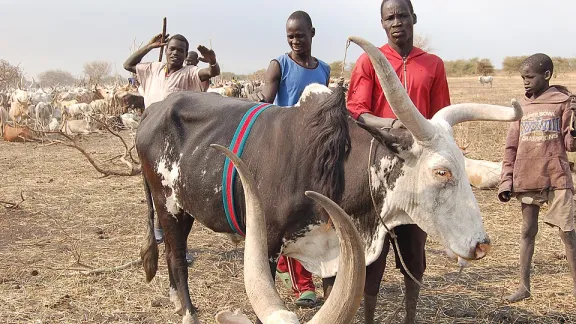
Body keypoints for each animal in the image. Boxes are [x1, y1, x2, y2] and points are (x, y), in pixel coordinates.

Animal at [136, 36, 520, 324]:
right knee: (175, 256)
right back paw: (187, 311)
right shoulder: (266, 245)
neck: (329, 166)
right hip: (167, 205)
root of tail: (153, 110)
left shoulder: (335, 251)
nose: (481, 244)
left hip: (184, 208)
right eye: (441, 171)